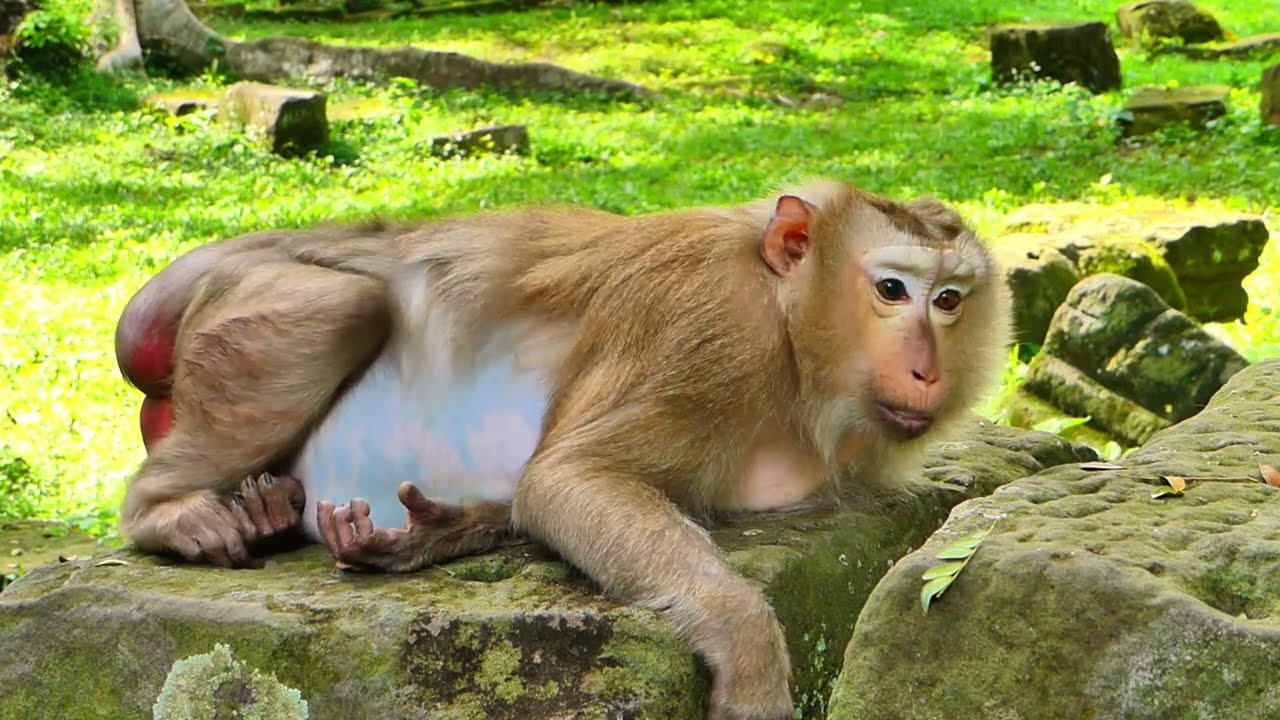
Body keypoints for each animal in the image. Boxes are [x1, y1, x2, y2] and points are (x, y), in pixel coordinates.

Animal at [114, 179, 1011, 719]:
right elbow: (564, 480)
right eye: (890, 289)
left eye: (950, 300)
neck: (789, 333)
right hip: (249, 300)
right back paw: (170, 511)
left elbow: (536, 490)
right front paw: (751, 657)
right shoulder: (707, 322)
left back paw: (279, 507)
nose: (927, 369)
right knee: (347, 303)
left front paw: (435, 533)